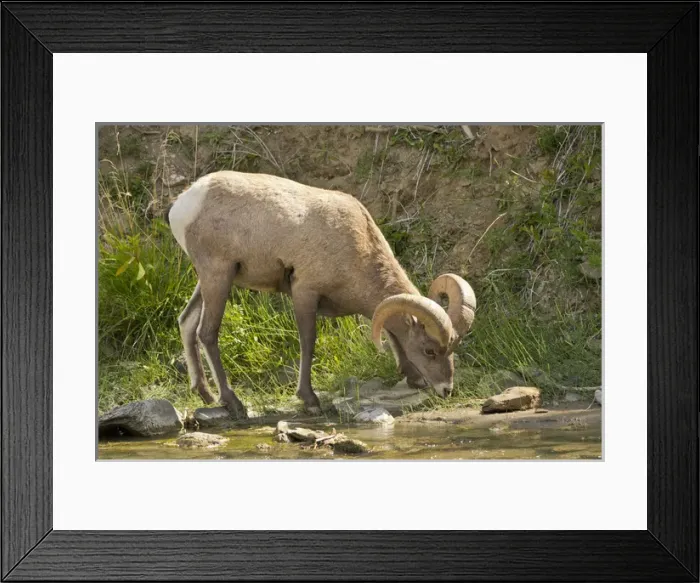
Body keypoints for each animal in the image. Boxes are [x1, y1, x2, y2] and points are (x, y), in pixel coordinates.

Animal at [168, 170, 476, 418]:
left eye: (454, 347)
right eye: (429, 351)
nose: (447, 390)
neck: (357, 247)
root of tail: (183, 206)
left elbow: (392, 333)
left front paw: (414, 379)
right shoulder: (305, 292)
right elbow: (308, 341)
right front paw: (310, 400)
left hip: (210, 280)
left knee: (187, 322)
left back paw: (205, 394)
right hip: (218, 276)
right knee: (207, 333)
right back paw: (233, 403)